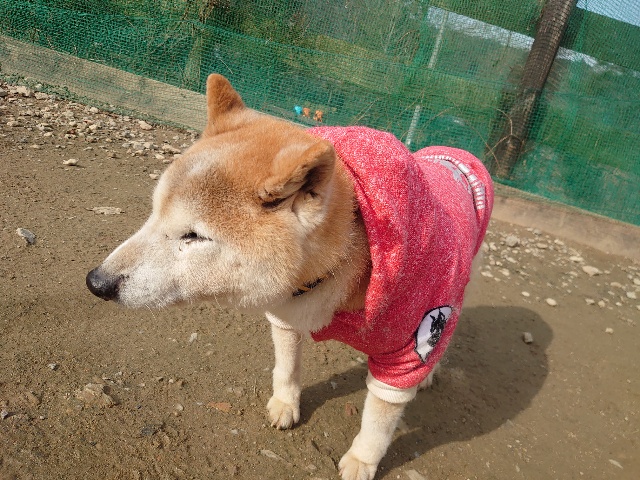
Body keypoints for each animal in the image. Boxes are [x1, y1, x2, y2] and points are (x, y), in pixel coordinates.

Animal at [87, 74, 493, 480]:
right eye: (154, 214)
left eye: (194, 236)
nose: (96, 282)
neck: (337, 270)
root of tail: (456, 153)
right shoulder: (285, 313)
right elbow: (286, 366)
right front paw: (285, 404)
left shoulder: (406, 351)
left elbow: (378, 422)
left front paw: (362, 460)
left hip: (453, 294)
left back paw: (430, 372)